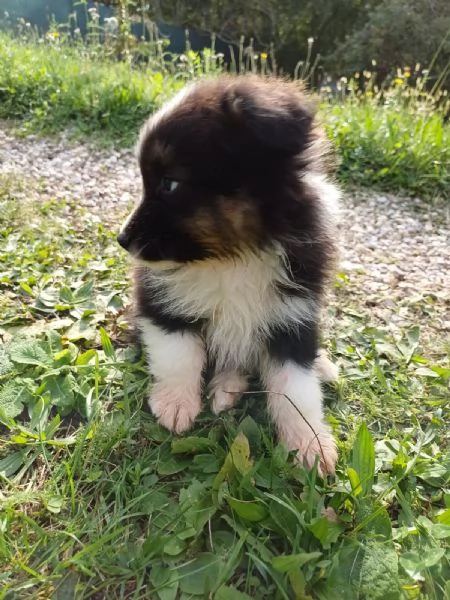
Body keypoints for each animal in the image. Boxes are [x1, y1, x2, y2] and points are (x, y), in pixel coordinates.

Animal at [118, 76, 340, 474]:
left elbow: (297, 387)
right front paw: (175, 404)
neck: (232, 257)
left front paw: (310, 444)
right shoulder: (162, 301)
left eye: (170, 184)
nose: (122, 239)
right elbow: (178, 354)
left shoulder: (293, 314)